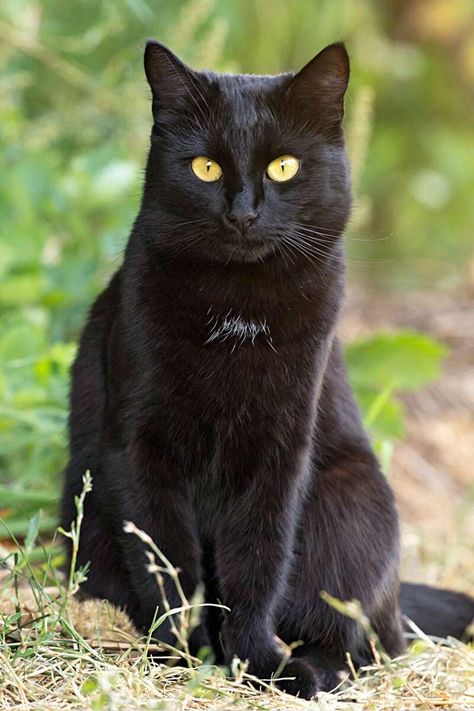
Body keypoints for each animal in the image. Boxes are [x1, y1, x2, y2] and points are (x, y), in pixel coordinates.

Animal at [61, 41, 472, 700]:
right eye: (205, 168)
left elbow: (257, 559)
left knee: (367, 638)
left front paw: (256, 663)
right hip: (85, 503)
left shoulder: (278, 449)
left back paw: (320, 667)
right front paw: (181, 654)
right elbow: (165, 558)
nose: (243, 213)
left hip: (353, 502)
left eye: (283, 167)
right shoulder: (139, 445)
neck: (238, 307)